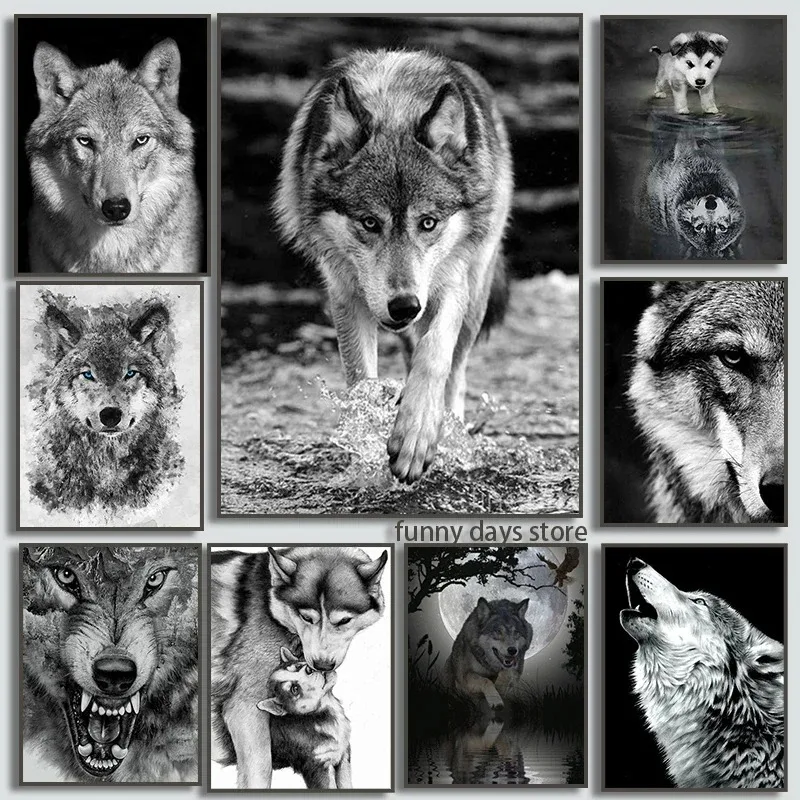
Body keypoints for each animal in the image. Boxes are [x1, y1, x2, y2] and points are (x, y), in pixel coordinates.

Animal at [256, 647, 352, 789]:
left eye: (298, 666)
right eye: (294, 689)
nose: (309, 669)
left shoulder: (343, 756)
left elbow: (345, 782)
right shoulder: (318, 766)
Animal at [274, 49, 513, 484]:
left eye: (428, 223)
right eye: (370, 223)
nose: (404, 306)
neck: (395, 106)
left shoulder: (450, 283)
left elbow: (434, 355)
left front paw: (417, 433)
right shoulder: (345, 294)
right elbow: (360, 382)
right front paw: (367, 440)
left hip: (475, 295)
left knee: (454, 371)